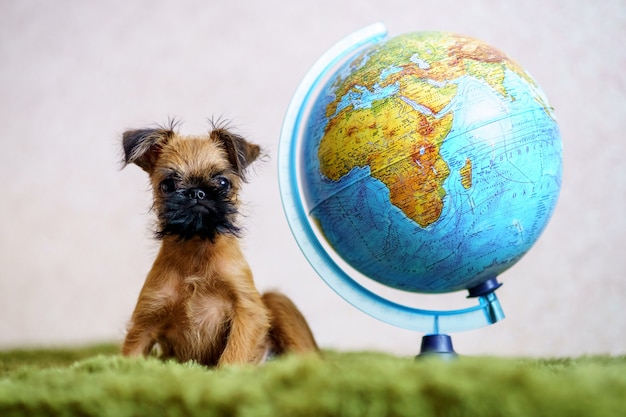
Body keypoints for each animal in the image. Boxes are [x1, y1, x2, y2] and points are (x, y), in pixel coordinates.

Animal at [119, 119, 316, 364]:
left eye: (223, 183)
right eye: (168, 185)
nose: (196, 193)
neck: (196, 249)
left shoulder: (248, 312)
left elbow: (233, 355)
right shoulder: (146, 318)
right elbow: (130, 355)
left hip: (277, 300)